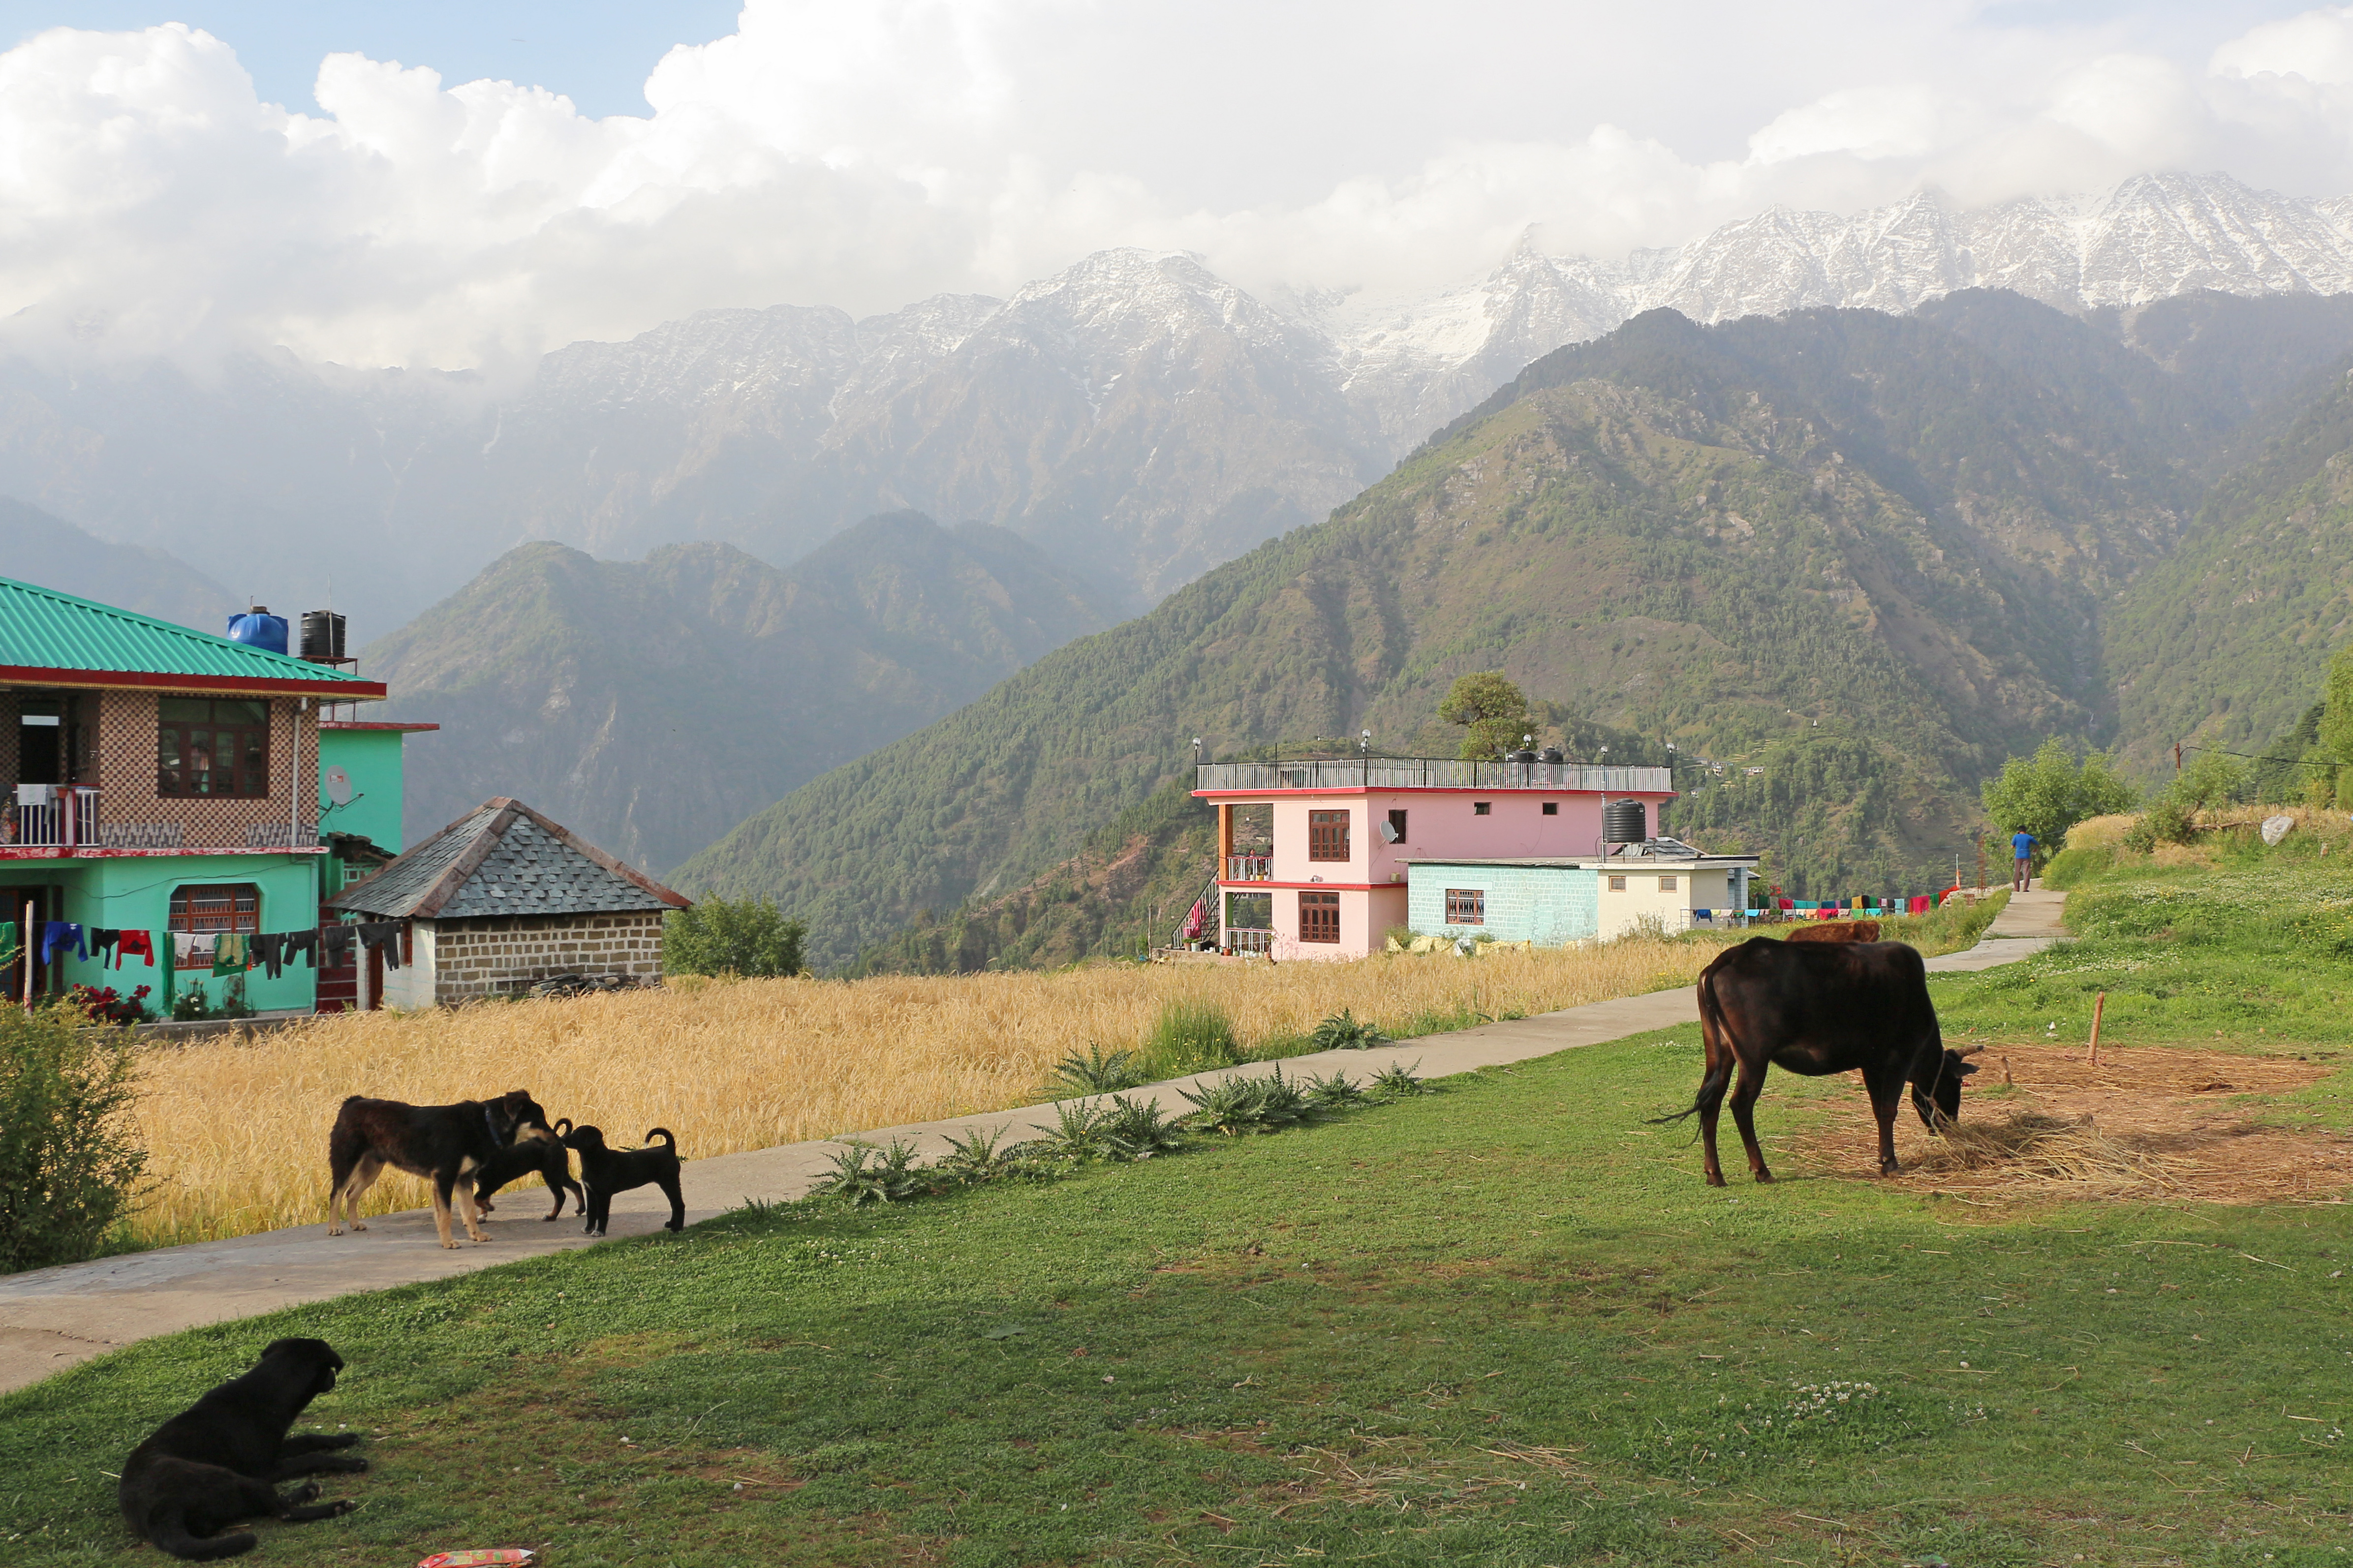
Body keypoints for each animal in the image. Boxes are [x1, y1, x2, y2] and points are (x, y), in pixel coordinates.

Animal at [119, 1327, 362, 1554]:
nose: (334, 1379)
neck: (268, 1390)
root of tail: (160, 1515)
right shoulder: (266, 1470)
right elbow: (312, 1457)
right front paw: (351, 1463)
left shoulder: (276, 1449)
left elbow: (311, 1439)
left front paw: (344, 1439)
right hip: (231, 1478)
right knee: (283, 1512)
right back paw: (336, 1506)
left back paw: (309, 1491)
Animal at [324, 1087, 548, 1243]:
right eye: (538, 1120)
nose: (554, 1138)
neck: (486, 1124)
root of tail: (353, 1102)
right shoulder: (444, 1178)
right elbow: (446, 1215)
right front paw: (448, 1243)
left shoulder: (464, 1179)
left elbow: (469, 1212)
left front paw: (476, 1235)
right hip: (347, 1163)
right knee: (336, 1194)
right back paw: (334, 1228)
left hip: (372, 1168)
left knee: (351, 1194)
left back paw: (354, 1224)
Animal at [557, 1125, 682, 1233]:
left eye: (580, 1134)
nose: (562, 1139)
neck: (596, 1159)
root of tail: (669, 1149)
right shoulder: (590, 1192)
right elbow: (591, 1212)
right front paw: (588, 1229)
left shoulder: (603, 1195)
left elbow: (602, 1214)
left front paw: (599, 1232)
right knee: (674, 1205)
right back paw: (671, 1224)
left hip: (670, 1182)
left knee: (679, 1205)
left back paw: (677, 1229)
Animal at [1666, 932, 1976, 1177]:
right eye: (1956, 1084)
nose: (1951, 1126)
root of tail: (1731, 956)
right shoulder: (1898, 1058)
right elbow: (1888, 1110)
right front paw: (1890, 1163)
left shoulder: (1871, 1063)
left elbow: (1878, 1109)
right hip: (1753, 1058)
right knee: (1740, 1104)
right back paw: (1762, 1171)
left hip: (1721, 1052)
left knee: (1711, 1103)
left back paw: (1715, 1174)